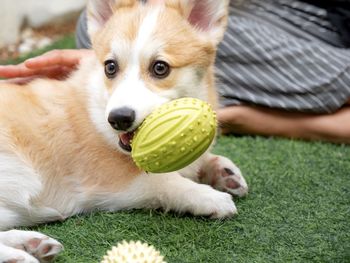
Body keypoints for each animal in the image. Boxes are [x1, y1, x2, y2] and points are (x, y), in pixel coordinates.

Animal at [0, 0, 247, 262]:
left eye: (160, 68)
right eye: (110, 67)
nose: (118, 119)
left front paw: (225, 172)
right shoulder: (115, 182)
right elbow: (166, 182)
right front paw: (211, 197)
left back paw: (33, 244)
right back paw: (21, 256)